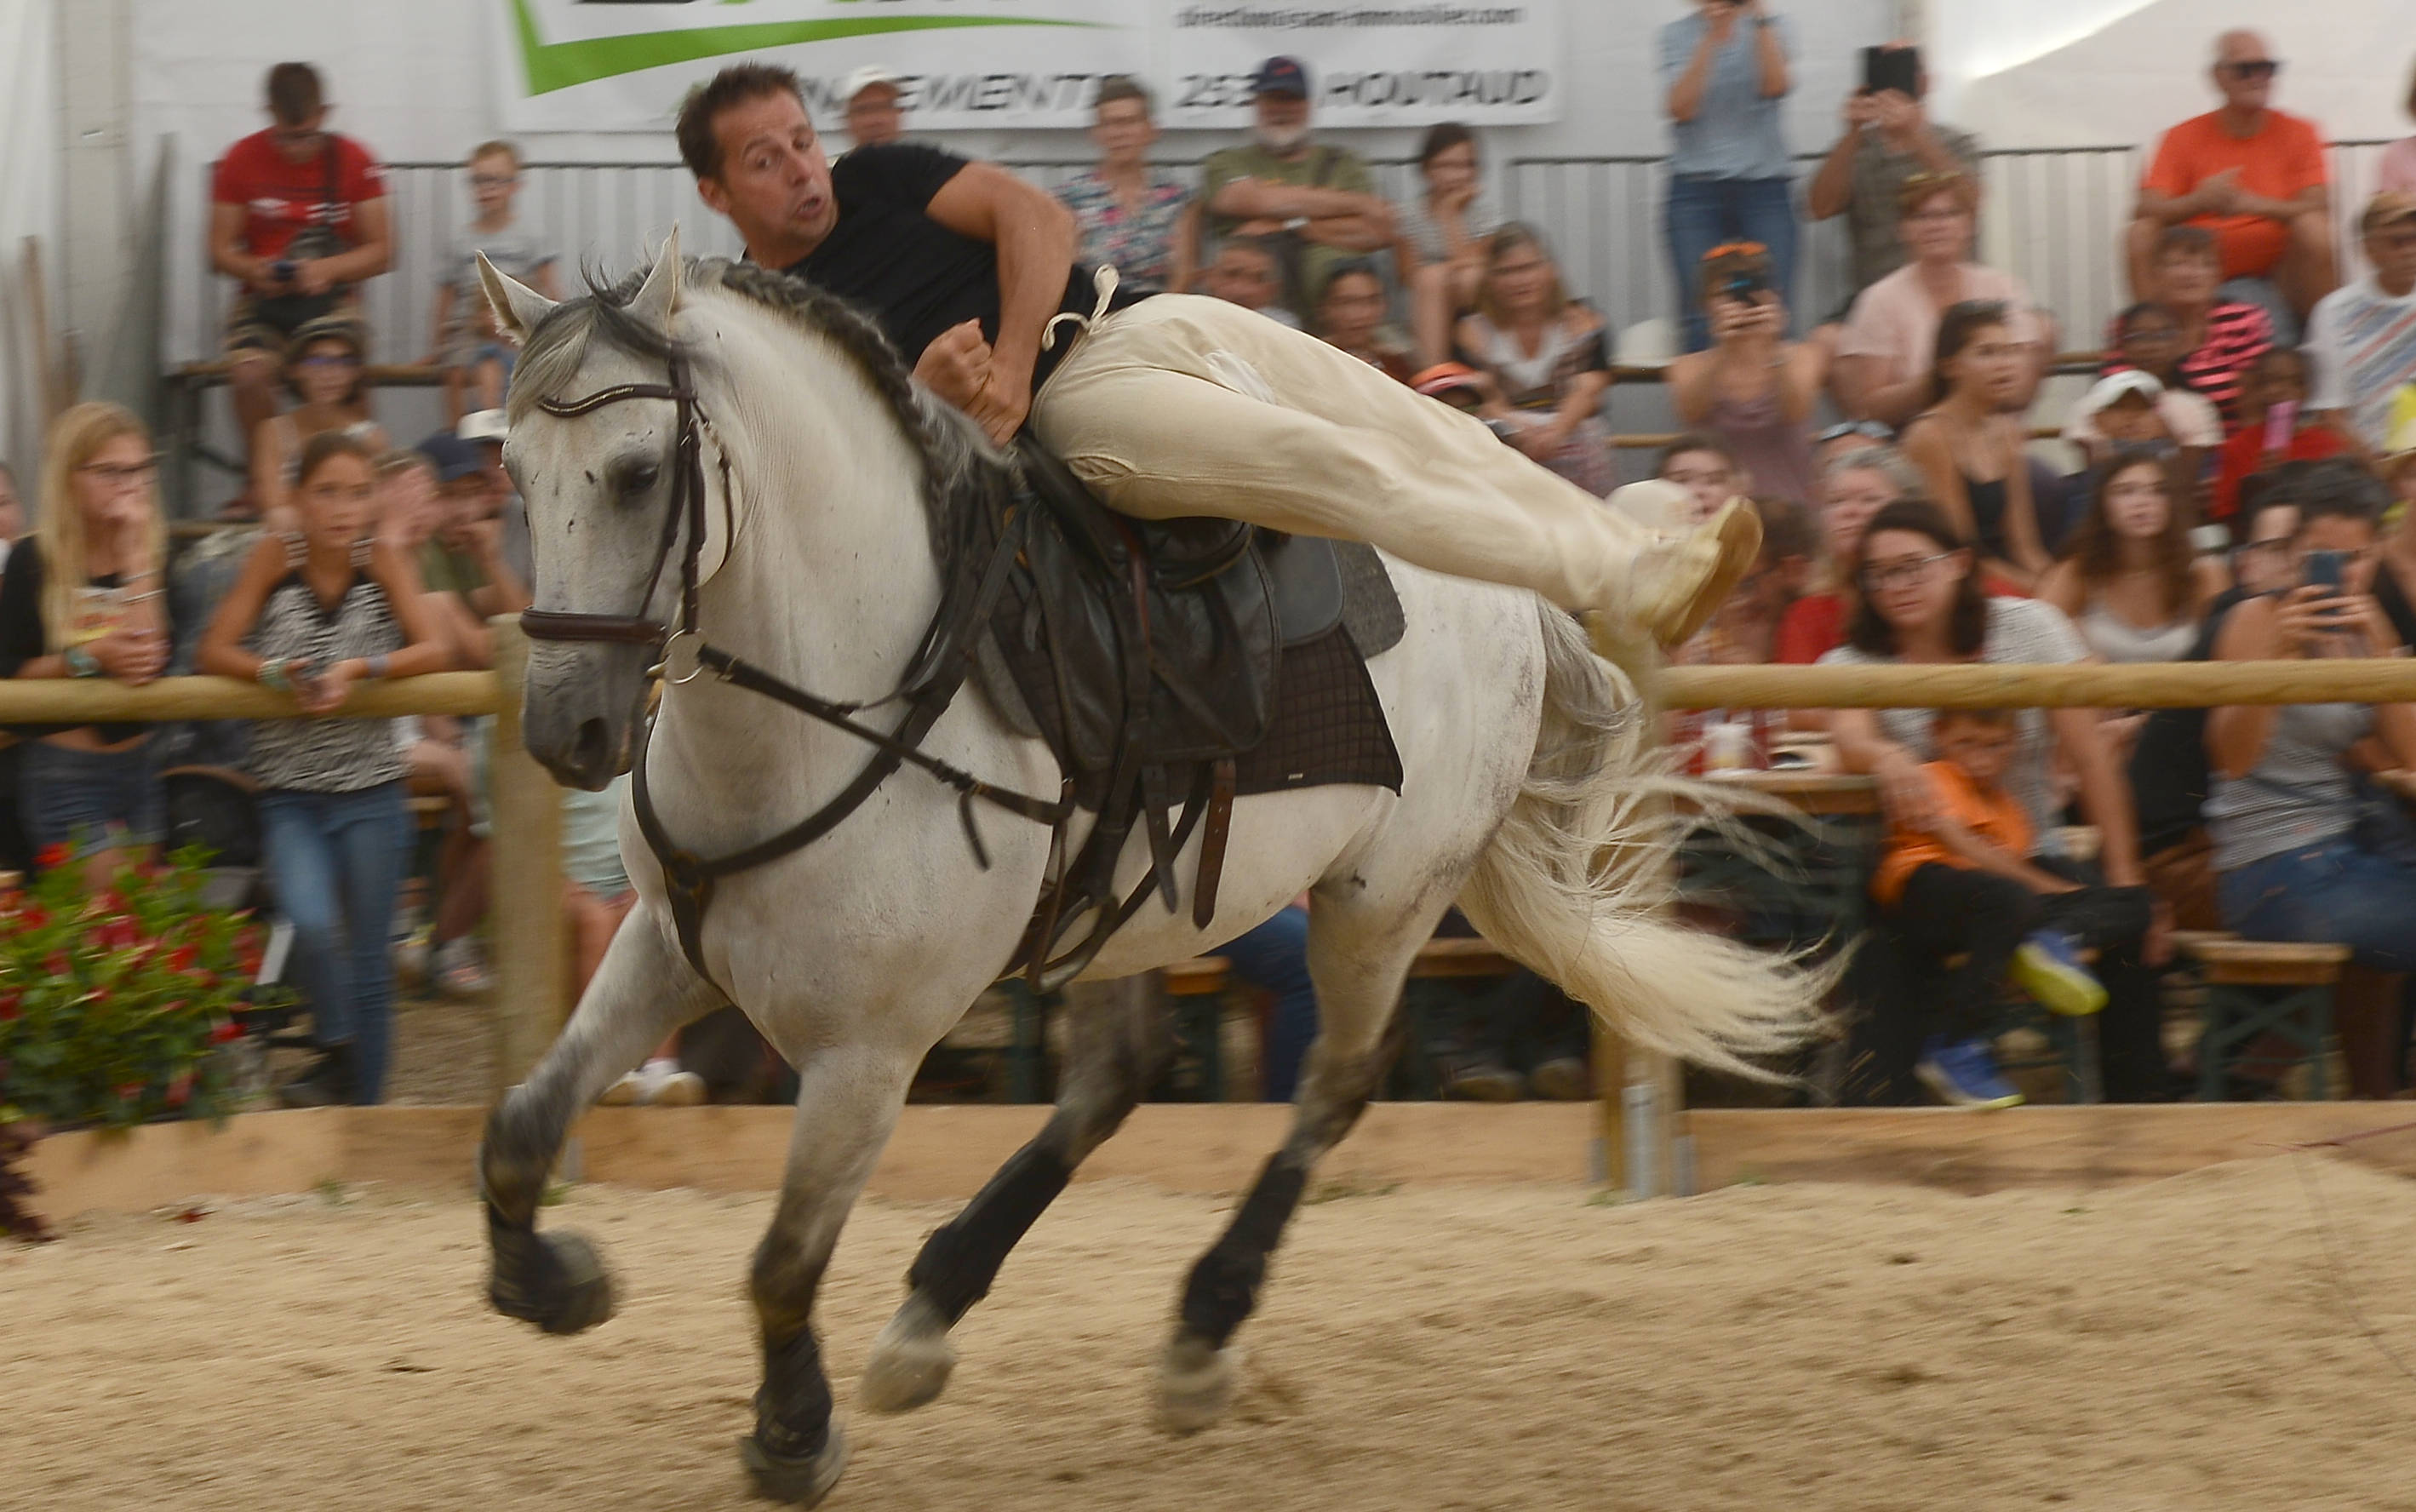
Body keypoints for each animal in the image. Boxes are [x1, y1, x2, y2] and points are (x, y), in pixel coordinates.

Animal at [471, 235, 1817, 1497]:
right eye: (515, 479)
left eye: (639, 473)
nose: (566, 729)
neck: (843, 695)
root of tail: (1508, 609)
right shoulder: (668, 946)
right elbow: (521, 1131)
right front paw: (556, 1282)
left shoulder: (869, 1055)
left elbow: (781, 1261)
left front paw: (794, 1436)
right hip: (1129, 905)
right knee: (1122, 1076)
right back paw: (935, 1308)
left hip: (1380, 896)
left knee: (1337, 1080)